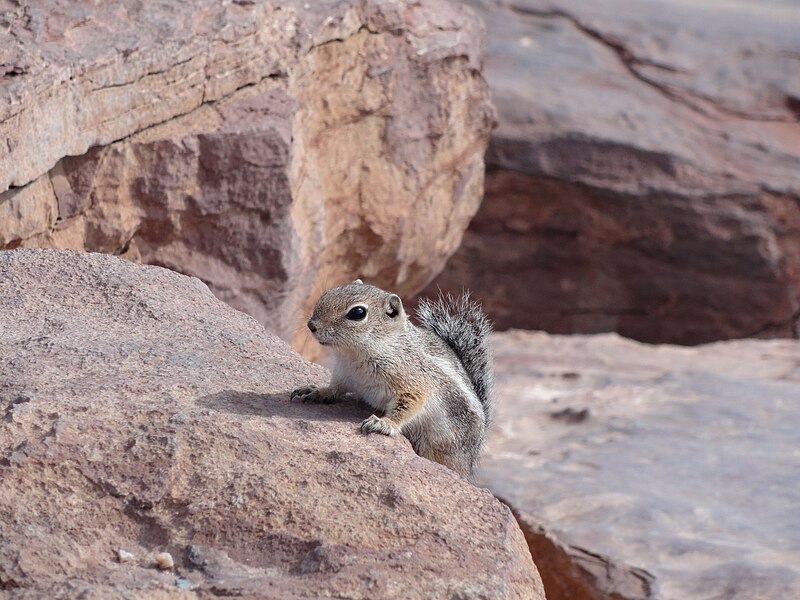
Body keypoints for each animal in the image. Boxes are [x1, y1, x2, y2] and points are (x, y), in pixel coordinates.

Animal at [290, 278, 490, 480]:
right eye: (328, 293)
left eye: (357, 313)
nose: (311, 325)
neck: (354, 354)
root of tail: (471, 461)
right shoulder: (343, 373)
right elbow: (334, 388)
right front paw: (315, 391)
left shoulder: (413, 382)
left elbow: (409, 405)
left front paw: (385, 423)